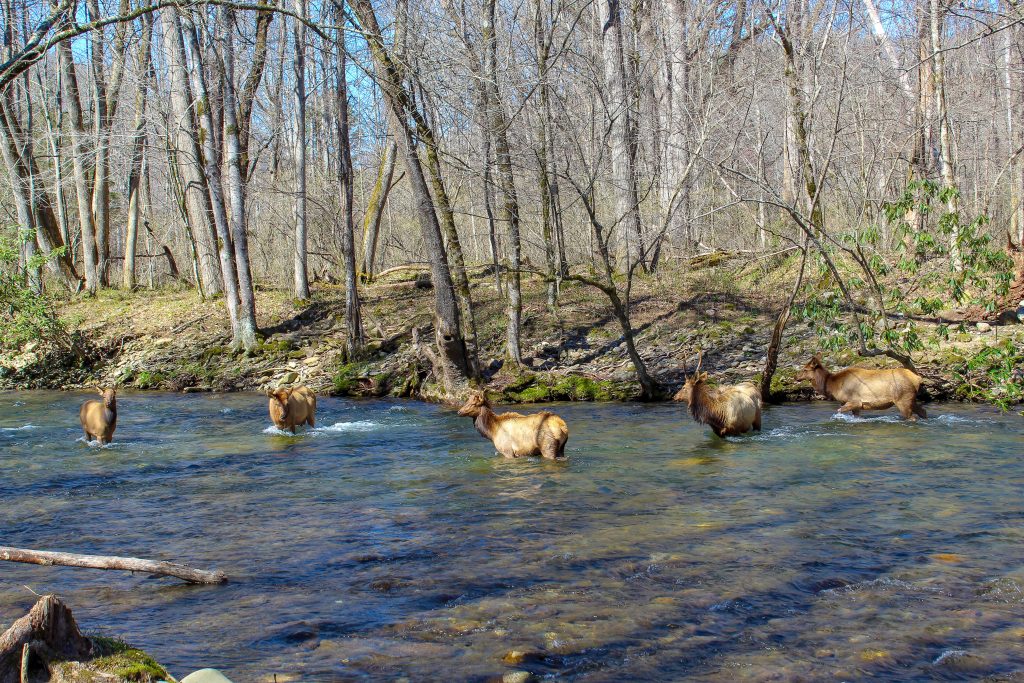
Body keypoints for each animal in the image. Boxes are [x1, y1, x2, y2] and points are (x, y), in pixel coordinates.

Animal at [794, 356, 933, 419]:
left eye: (805, 369)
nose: (796, 377)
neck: (833, 385)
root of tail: (917, 378)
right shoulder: (856, 405)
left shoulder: (854, 401)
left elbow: (839, 411)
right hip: (911, 399)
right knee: (923, 411)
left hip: (902, 399)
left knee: (912, 417)